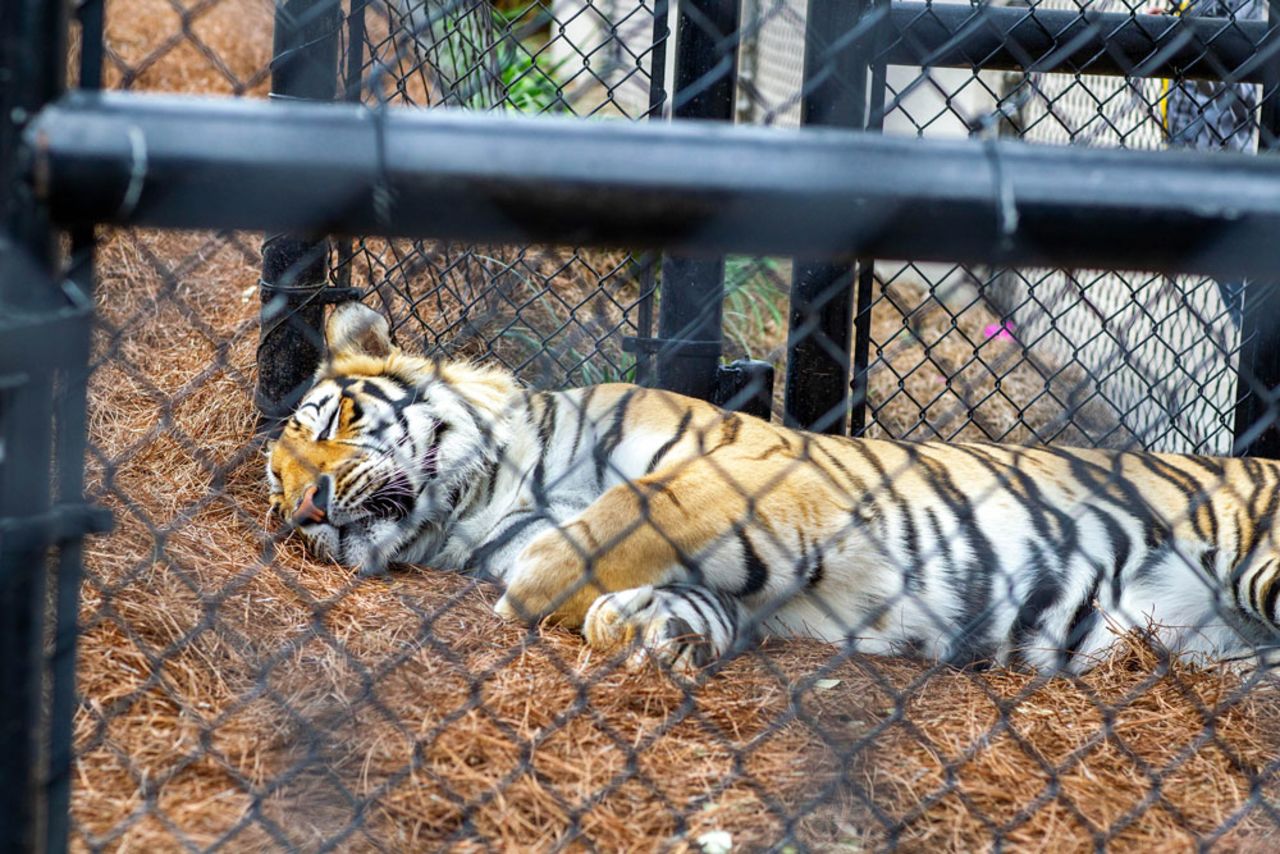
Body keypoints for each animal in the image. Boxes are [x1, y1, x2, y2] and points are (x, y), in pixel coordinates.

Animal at [264, 302, 1280, 676]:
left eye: (334, 422)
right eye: (275, 494)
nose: (307, 511)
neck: (492, 496)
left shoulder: (753, 475)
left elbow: (622, 514)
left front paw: (541, 588)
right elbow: (650, 598)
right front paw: (652, 632)